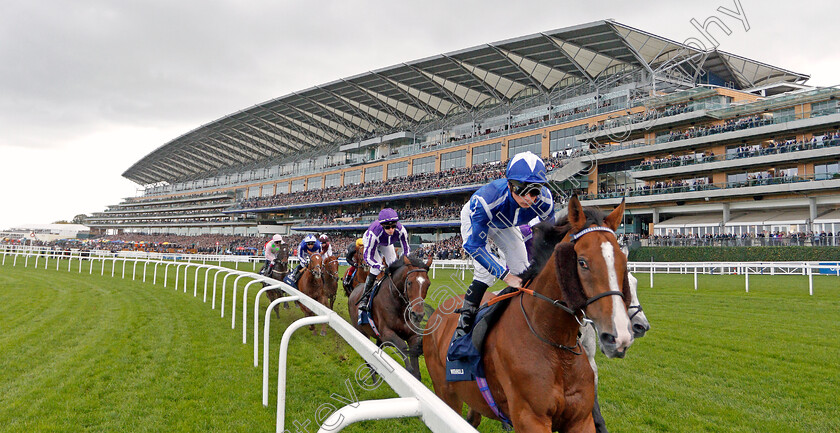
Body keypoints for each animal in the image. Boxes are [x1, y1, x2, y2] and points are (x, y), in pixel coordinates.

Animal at [424, 197, 632, 432]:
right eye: (583, 262)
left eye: (623, 262)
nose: (619, 335)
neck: (554, 341)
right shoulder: (530, 418)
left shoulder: (580, 419)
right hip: (445, 393)